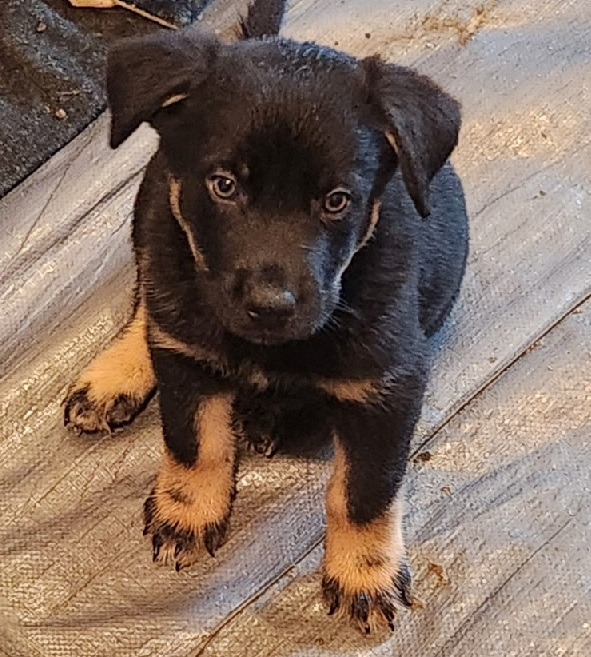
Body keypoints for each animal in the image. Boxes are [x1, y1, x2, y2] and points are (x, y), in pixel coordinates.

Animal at [65, 1, 470, 636]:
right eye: (224, 185)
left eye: (337, 200)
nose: (269, 304)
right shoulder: (187, 353)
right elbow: (192, 439)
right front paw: (188, 510)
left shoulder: (389, 386)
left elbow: (364, 490)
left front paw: (364, 573)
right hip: (152, 213)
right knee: (148, 300)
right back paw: (116, 376)